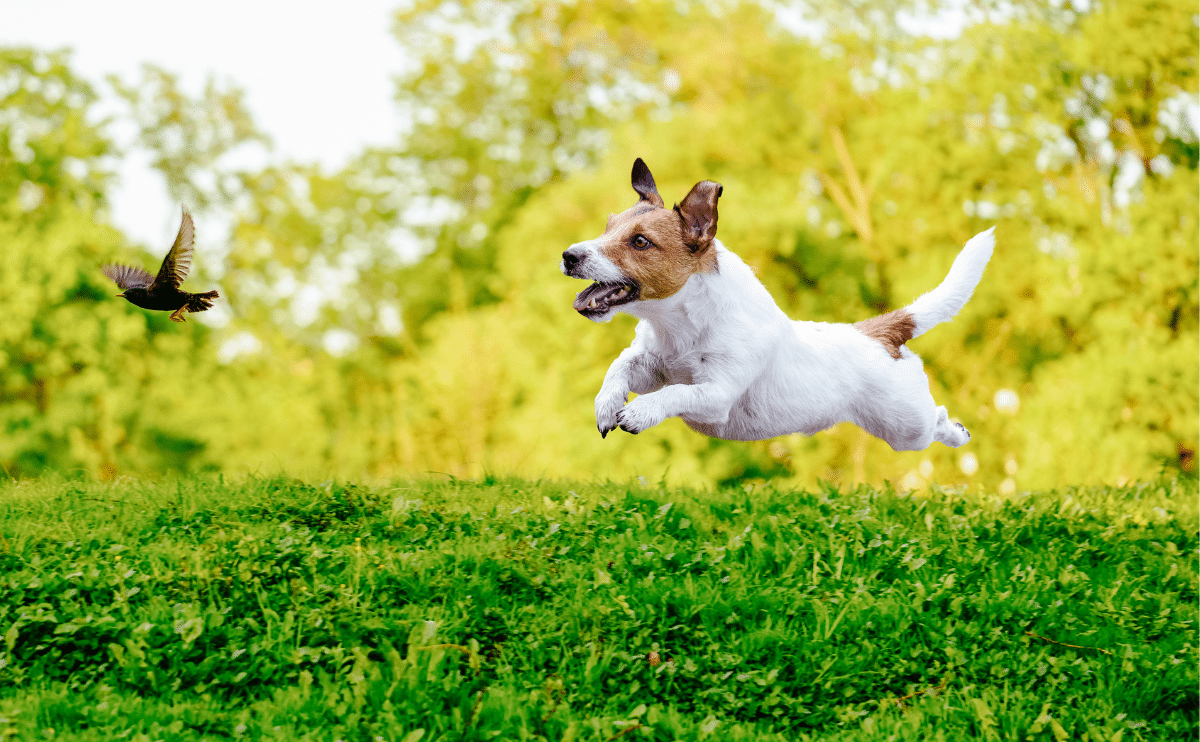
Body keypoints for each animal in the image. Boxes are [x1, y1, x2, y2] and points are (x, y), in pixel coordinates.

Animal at [561, 157, 993, 451]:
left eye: (640, 241)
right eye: (607, 226)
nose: (568, 255)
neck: (680, 325)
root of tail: (875, 332)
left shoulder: (717, 393)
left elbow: (675, 393)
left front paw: (640, 411)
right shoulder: (650, 364)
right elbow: (618, 369)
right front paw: (607, 404)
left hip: (907, 426)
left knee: (936, 420)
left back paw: (957, 433)